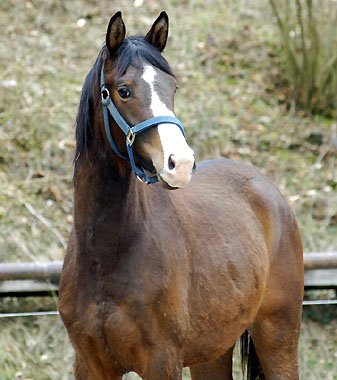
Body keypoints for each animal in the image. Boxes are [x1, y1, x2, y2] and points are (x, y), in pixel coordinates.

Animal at [59, 11, 304, 380]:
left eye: (172, 87)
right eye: (124, 91)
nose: (182, 163)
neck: (105, 255)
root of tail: (271, 195)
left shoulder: (163, 362)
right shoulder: (90, 364)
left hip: (278, 337)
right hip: (212, 351)